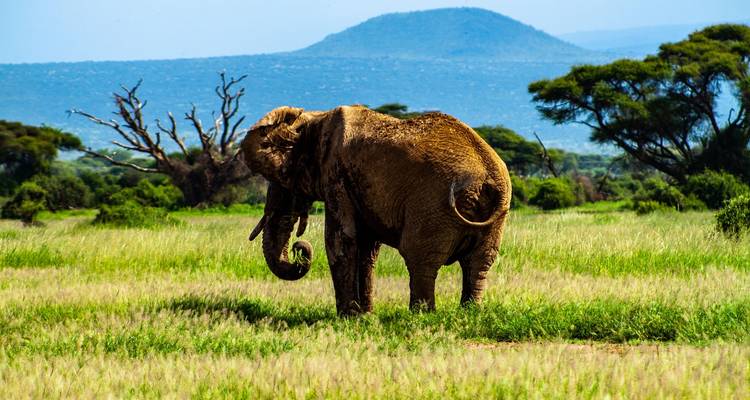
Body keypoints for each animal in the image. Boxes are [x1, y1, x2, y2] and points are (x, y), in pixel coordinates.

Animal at [241, 105, 511, 315]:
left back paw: (420, 316)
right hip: (493, 216)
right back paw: (469, 312)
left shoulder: (336, 176)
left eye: (283, 181)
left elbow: (340, 240)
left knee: (420, 259)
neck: (314, 117)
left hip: (433, 208)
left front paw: (348, 318)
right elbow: (367, 248)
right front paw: (366, 315)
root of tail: (486, 175)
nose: (301, 248)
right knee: (479, 263)